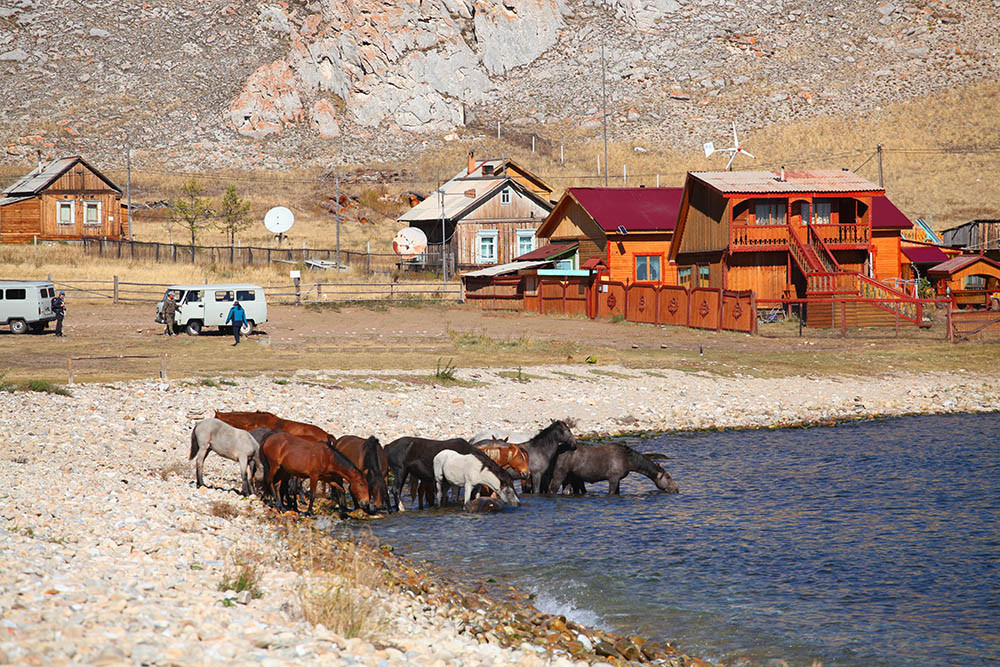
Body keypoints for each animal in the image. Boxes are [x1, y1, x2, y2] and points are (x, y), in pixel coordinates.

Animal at [548, 444, 680, 496]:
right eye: (668, 476)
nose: (677, 489)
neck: (629, 461)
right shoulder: (613, 478)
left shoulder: (618, 480)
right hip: (559, 475)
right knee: (552, 490)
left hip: (568, 478)